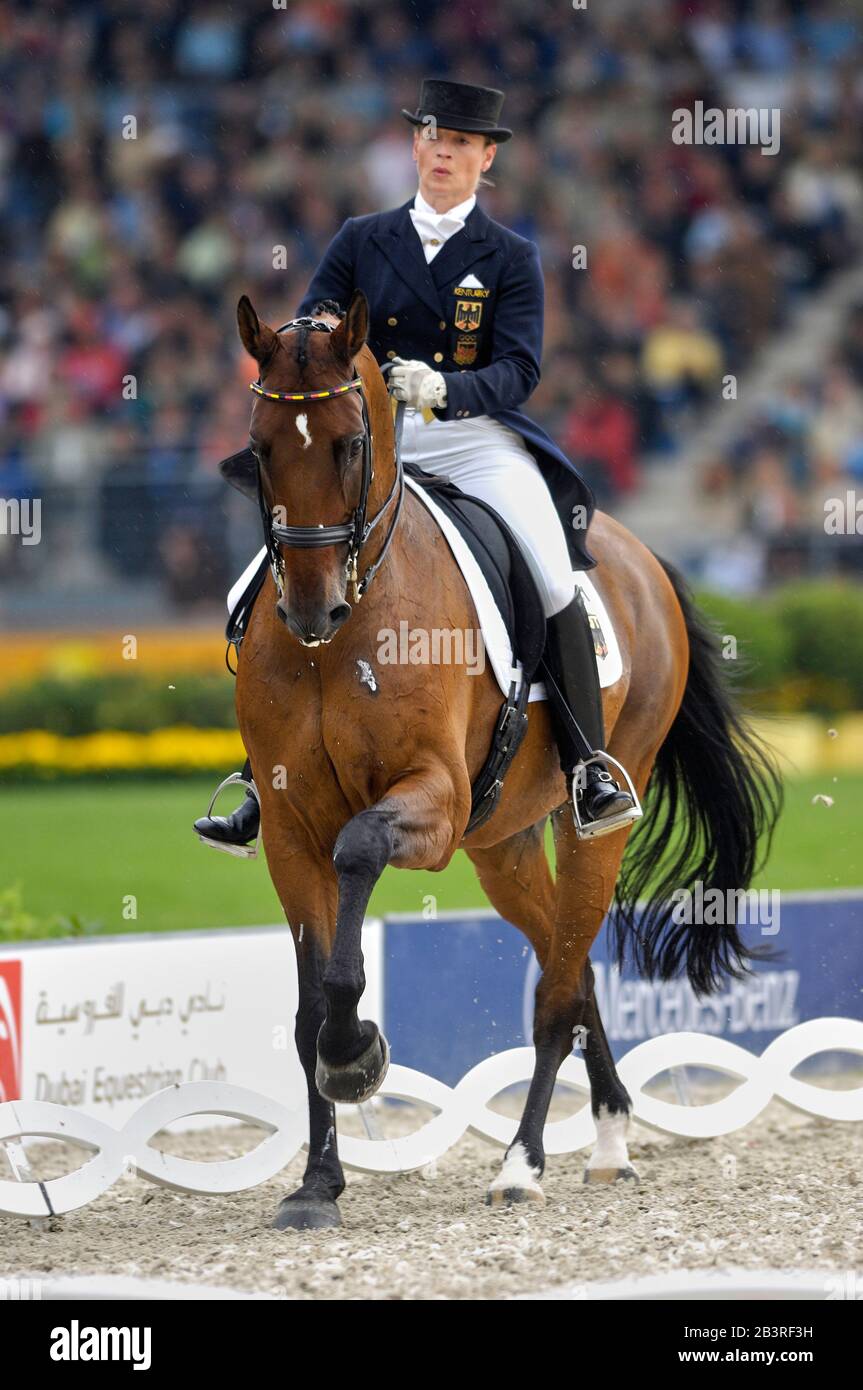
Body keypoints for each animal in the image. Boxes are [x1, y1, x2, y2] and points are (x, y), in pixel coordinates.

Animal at [230, 290, 778, 1228]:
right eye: (262, 449)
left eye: (349, 444)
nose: (310, 610)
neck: (345, 634)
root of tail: (635, 554)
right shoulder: (289, 832)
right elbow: (304, 1011)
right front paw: (317, 1184)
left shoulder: (432, 802)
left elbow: (359, 853)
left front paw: (356, 1054)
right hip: (504, 845)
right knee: (573, 962)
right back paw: (608, 1141)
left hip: (591, 819)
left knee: (557, 992)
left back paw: (524, 1163)